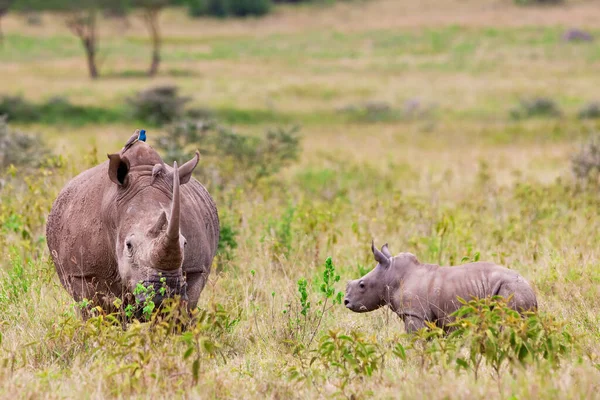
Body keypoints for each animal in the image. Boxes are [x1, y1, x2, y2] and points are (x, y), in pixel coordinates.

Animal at [344, 242, 536, 332]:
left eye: (362, 285)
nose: (345, 302)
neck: (391, 275)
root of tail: (532, 292)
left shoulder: (415, 314)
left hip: (510, 290)